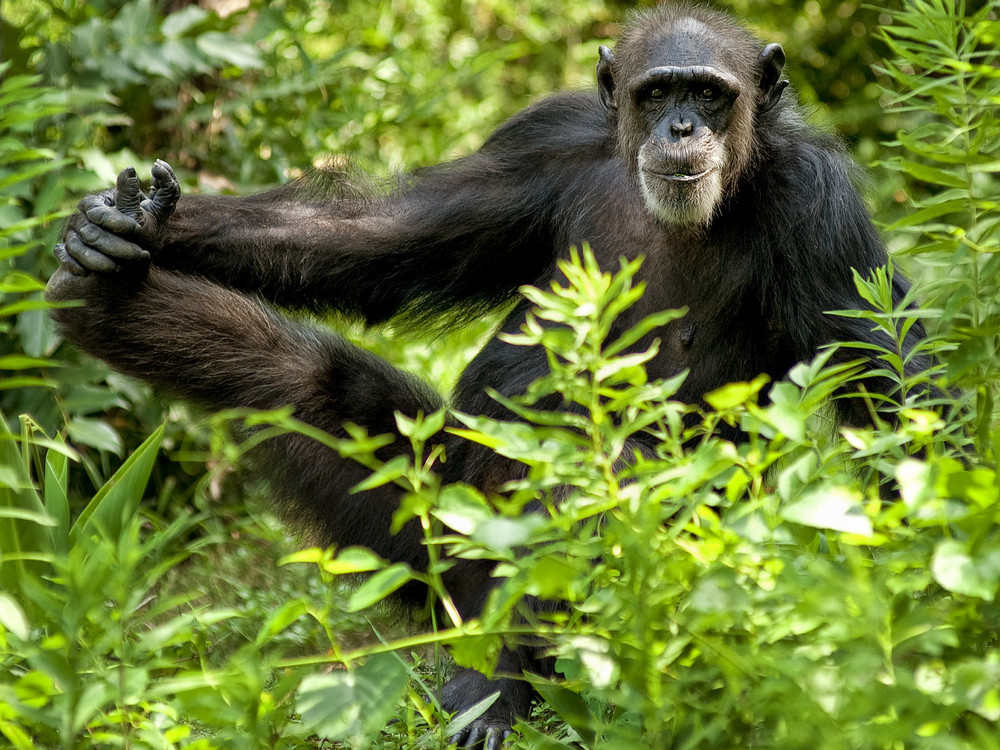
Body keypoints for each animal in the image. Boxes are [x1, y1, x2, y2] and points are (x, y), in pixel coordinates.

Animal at [45, 2, 920, 748]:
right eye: (658, 92)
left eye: (710, 94)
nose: (680, 126)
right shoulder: (539, 143)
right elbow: (380, 239)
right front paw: (131, 222)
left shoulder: (818, 206)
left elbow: (889, 381)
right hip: (427, 540)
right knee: (300, 378)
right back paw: (99, 297)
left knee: (591, 479)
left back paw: (500, 692)